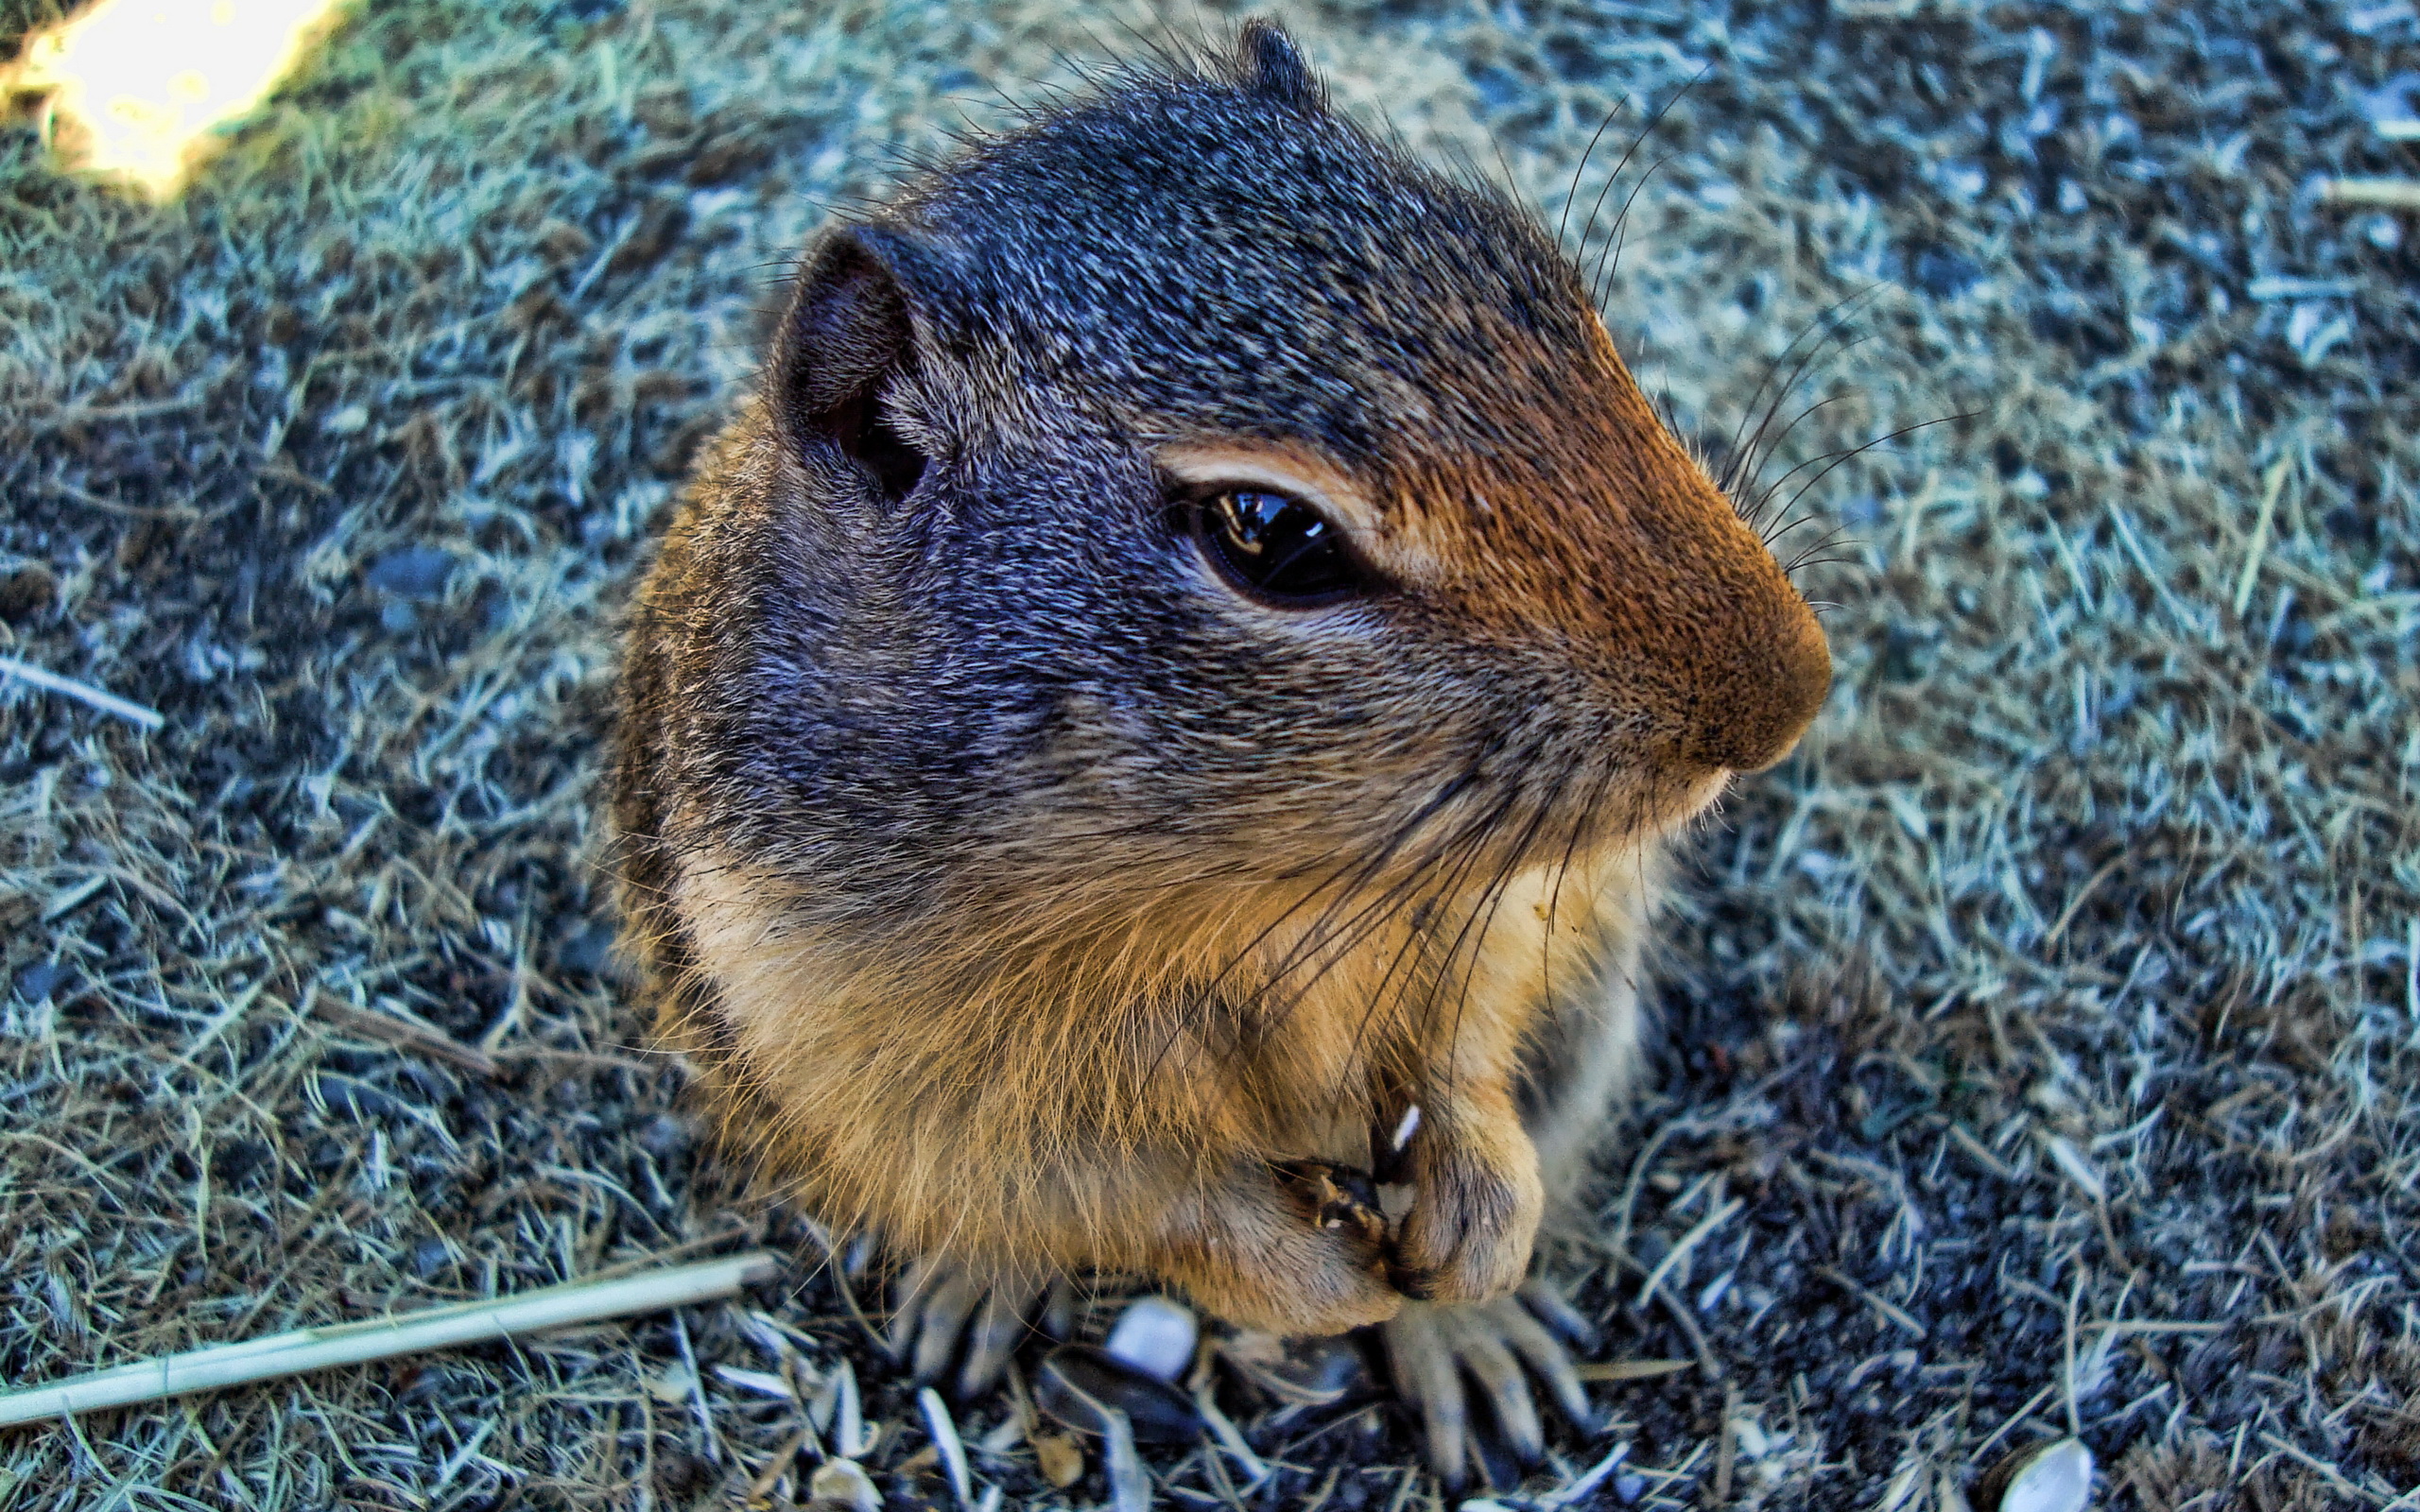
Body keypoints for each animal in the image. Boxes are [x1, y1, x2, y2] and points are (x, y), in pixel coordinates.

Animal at [614, 20, 1820, 1489]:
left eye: (1548, 283)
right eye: (1269, 532)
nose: (1794, 696)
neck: (1251, 886)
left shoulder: (1508, 901)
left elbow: (1472, 1036)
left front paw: (1471, 1221)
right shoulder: (877, 1053)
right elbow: (1112, 1190)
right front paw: (1312, 1282)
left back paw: (1471, 1333)